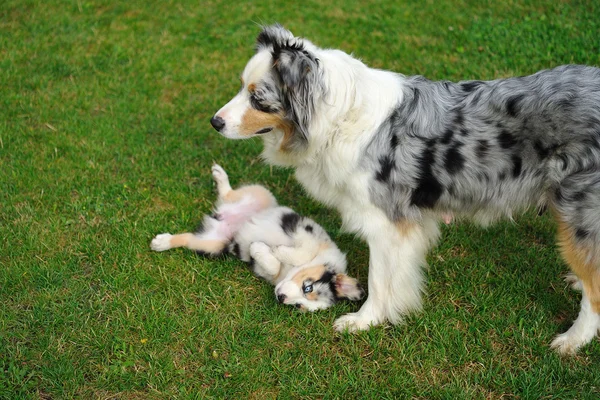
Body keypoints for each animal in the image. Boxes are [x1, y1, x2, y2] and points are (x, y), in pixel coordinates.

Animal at [152, 164, 364, 310]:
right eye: (308, 288)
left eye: (299, 306)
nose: (281, 298)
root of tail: (223, 216)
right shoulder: (306, 230)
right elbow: (302, 251)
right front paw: (277, 250)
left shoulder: (266, 271)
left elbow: (271, 264)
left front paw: (259, 249)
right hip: (262, 194)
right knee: (229, 193)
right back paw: (220, 176)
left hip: (212, 243)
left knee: (188, 238)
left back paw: (162, 242)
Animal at [209, 24, 600, 354]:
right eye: (241, 86)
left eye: (258, 98)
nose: (215, 122)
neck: (336, 117)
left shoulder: (386, 222)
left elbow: (380, 279)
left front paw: (365, 320)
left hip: (578, 214)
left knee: (594, 292)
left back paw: (572, 340)